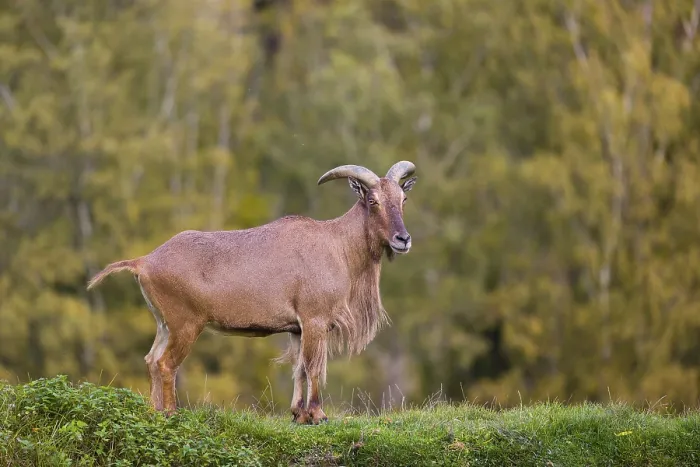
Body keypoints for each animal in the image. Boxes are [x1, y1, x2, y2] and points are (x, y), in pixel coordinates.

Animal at [87, 161, 417, 424]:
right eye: (372, 200)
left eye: (403, 198)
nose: (403, 239)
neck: (338, 245)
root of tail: (144, 262)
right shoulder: (315, 320)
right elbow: (313, 367)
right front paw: (318, 415)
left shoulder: (297, 329)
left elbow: (298, 368)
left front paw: (298, 414)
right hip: (185, 324)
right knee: (166, 364)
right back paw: (171, 413)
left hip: (163, 324)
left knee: (151, 360)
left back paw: (155, 412)